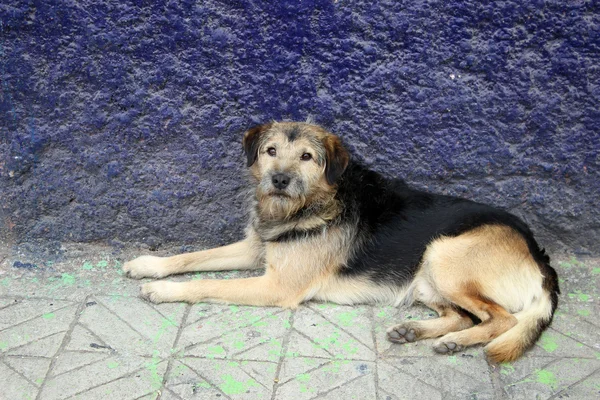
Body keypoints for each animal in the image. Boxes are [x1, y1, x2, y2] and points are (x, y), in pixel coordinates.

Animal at [124, 122, 560, 362]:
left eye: (306, 157)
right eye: (270, 151)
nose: (279, 180)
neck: (309, 204)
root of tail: (540, 259)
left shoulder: (276, 286)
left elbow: (206, 281)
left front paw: (164, 291)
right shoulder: (254, 249)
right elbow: (191, 257)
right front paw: (149, 265)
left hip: (443, 255)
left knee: (501, 319)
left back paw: (455, 342)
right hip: (424, 278)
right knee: (465, 315)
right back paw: (418, 332)